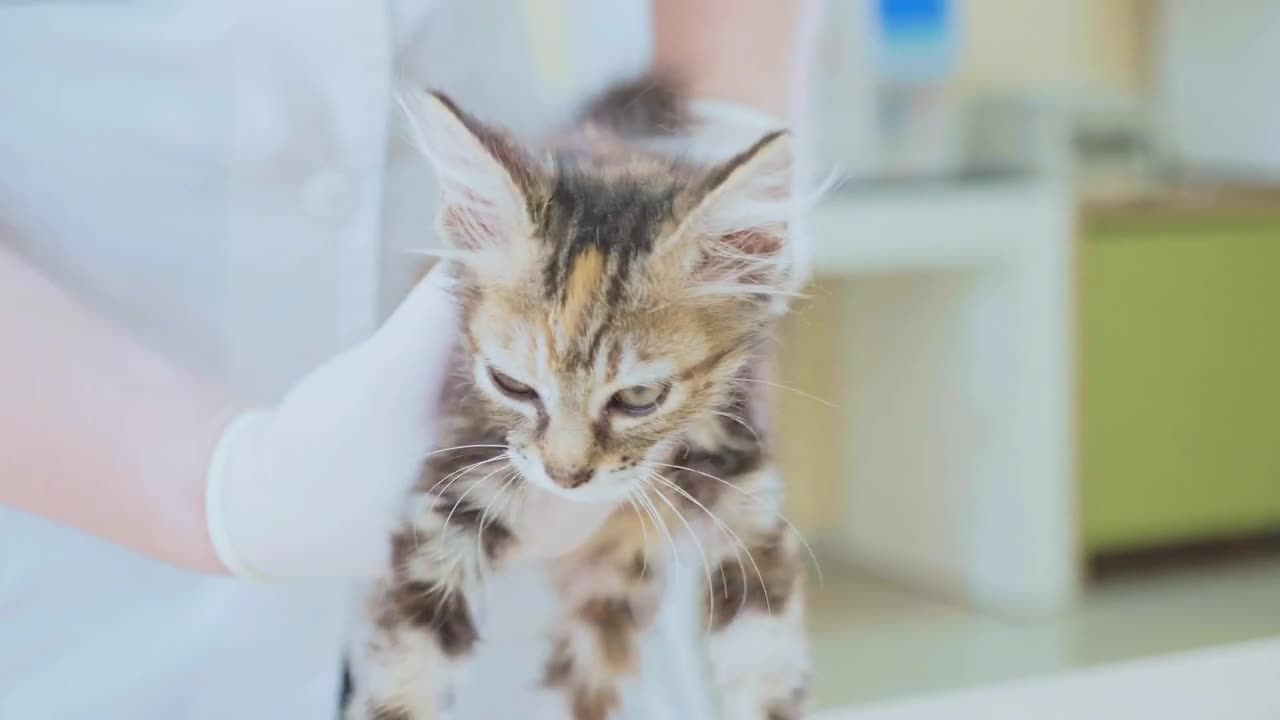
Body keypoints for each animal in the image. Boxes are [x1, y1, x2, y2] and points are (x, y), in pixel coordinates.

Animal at [343, 77, 808, 717]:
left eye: (639, 396)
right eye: (512, 384)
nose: (565, 478)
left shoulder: (749, 501)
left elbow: (767, 672)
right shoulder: (457, 476)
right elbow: (405, 664)